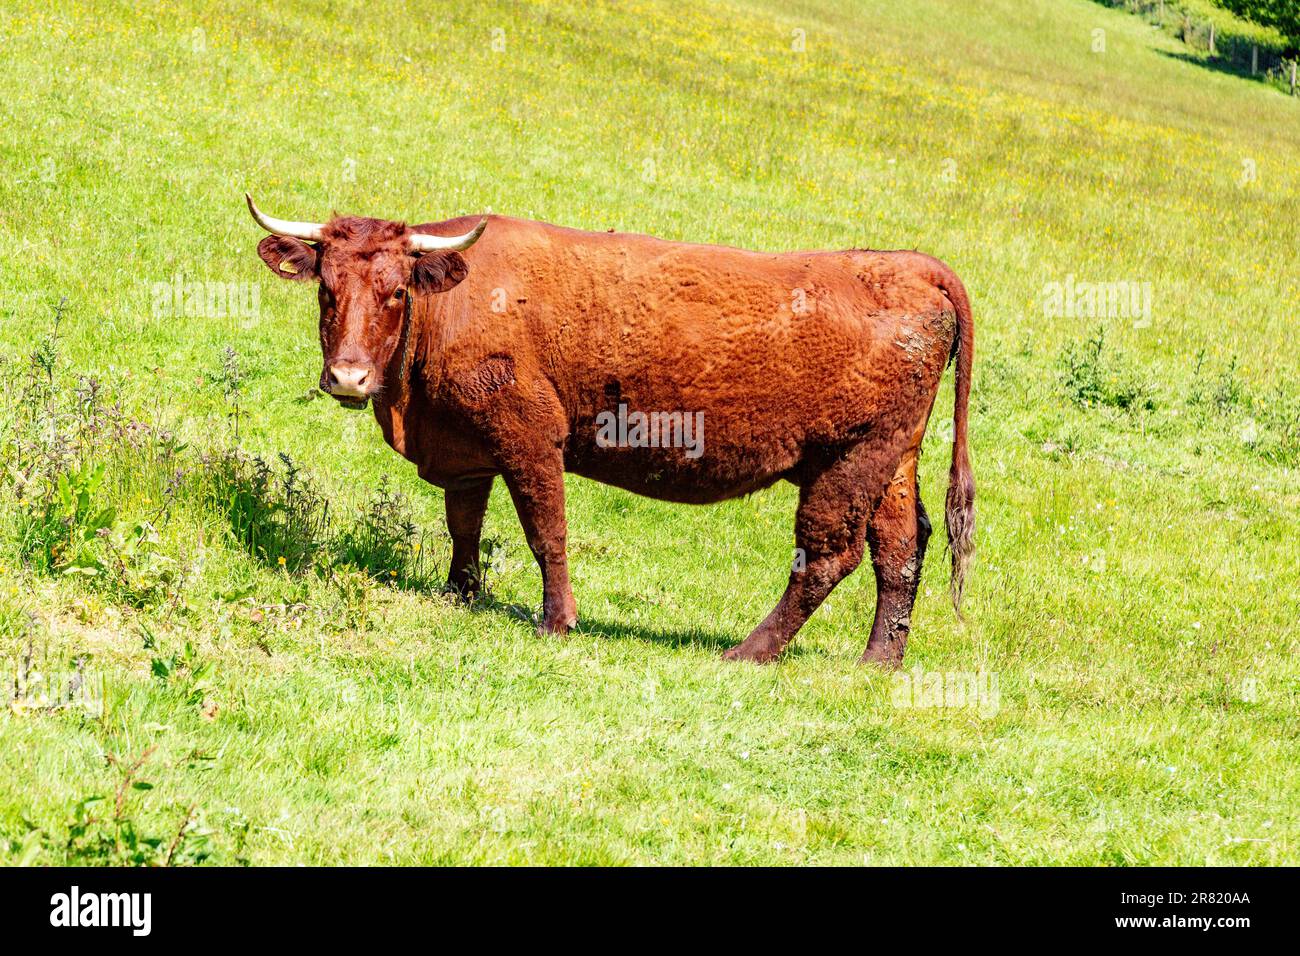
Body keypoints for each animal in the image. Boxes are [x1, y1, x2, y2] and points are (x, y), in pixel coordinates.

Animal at [246, 195, 974, 665]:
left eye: (397, 291)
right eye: (326, 289)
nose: (348, 377)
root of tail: (910, 265)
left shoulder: (530, 437)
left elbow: (546, 530)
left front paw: (555, 621)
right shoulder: (467, 447)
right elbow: (464, 523)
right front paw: (459, 594)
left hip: (847, 460)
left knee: (828, 557)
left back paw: (750, 651)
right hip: (893, 461)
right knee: (901, 548)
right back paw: (878, 661)